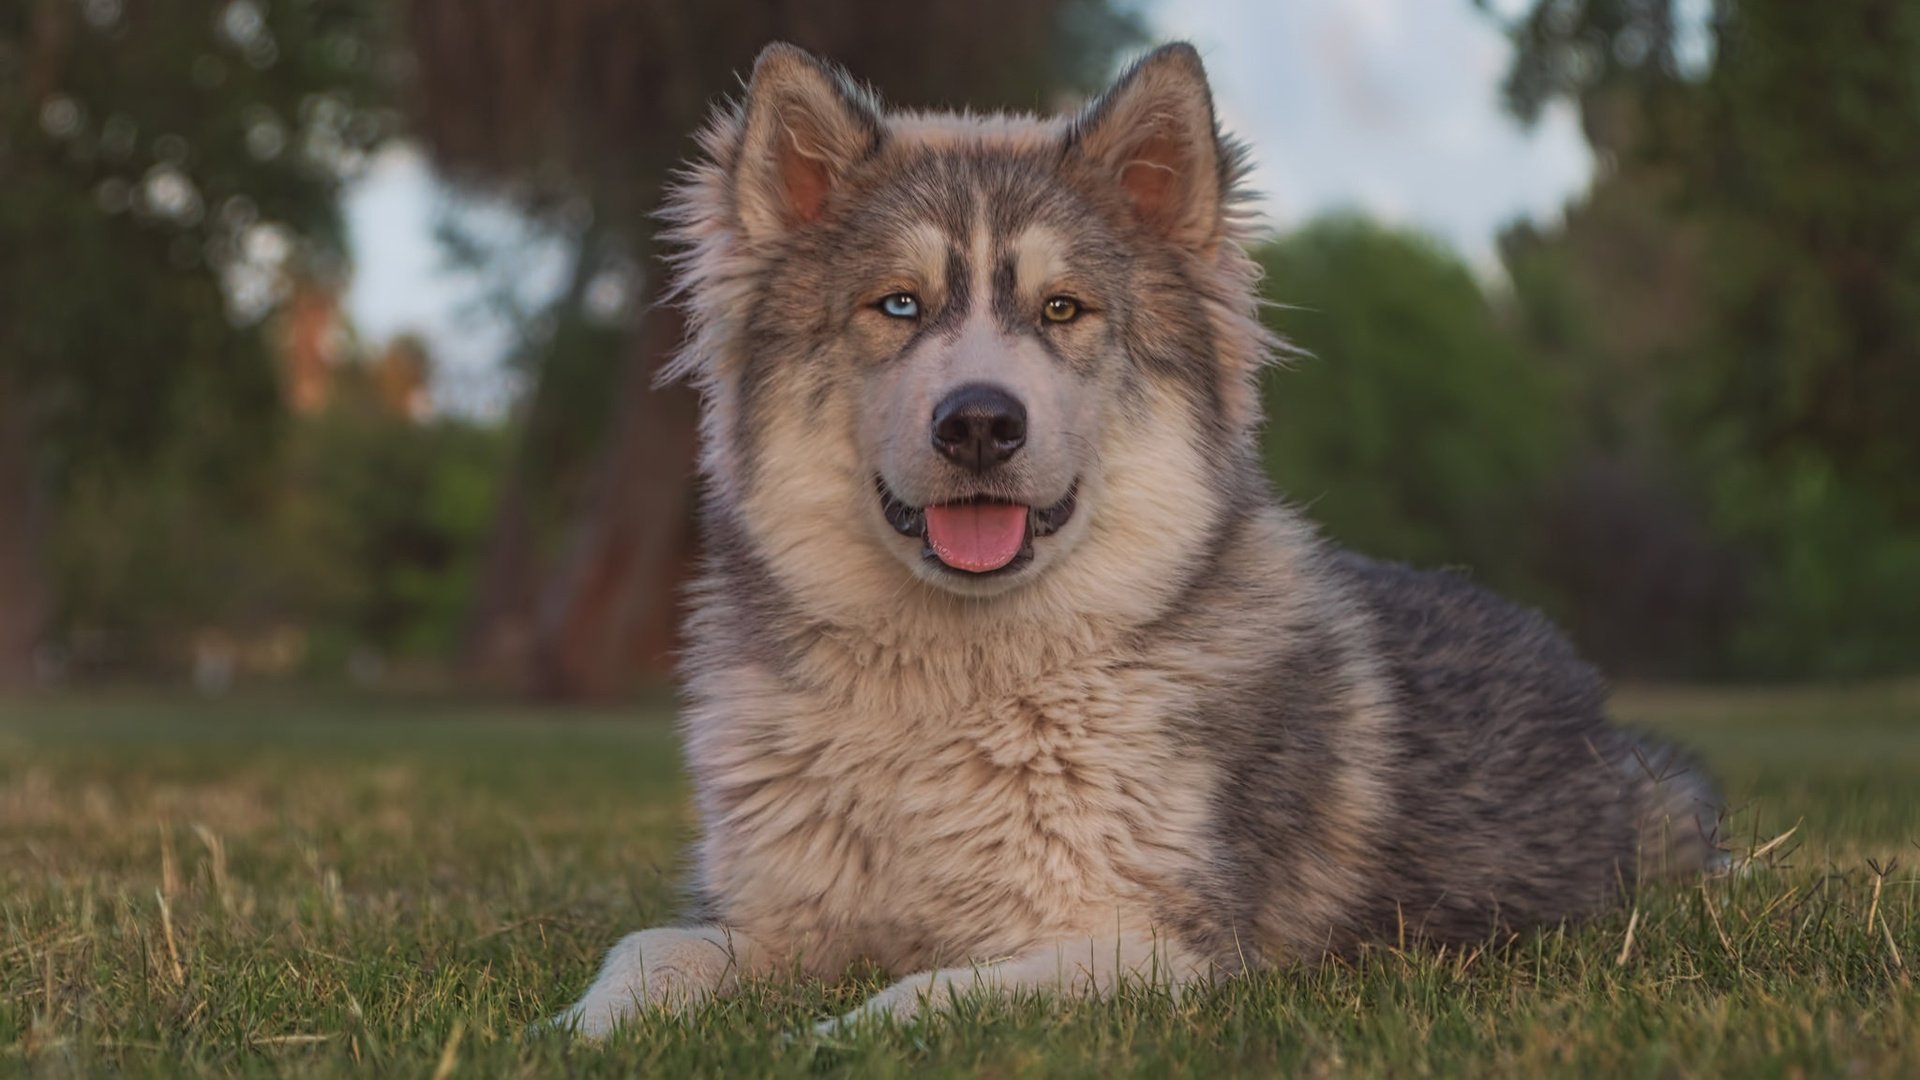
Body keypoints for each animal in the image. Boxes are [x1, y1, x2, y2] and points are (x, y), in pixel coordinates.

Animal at [552, 39, 1712, 1037]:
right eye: (898, 305)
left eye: (1064, 309)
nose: (980, 424)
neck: (955, 691)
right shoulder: (765, 914)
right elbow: (648, 951)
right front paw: (583, 1031)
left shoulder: (1161, 950)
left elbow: (924, 995)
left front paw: (823, 1036)